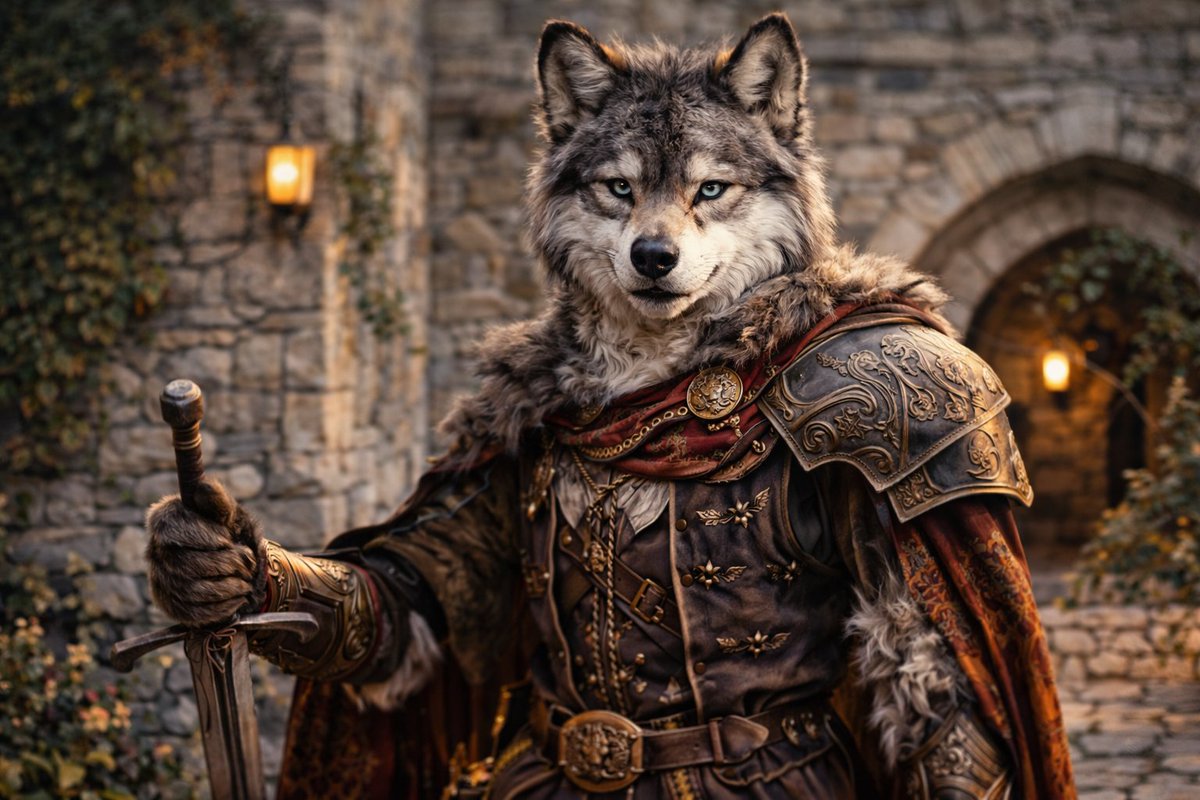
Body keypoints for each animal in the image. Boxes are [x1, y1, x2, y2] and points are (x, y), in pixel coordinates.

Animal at [146, 13, 1075, 799]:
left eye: (711, 190)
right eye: (618, 188)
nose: (653, 257)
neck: (657, 387)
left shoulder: (910, 439)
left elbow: (944, 710)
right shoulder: (495, 441)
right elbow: (403, 596)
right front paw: (209, 555)